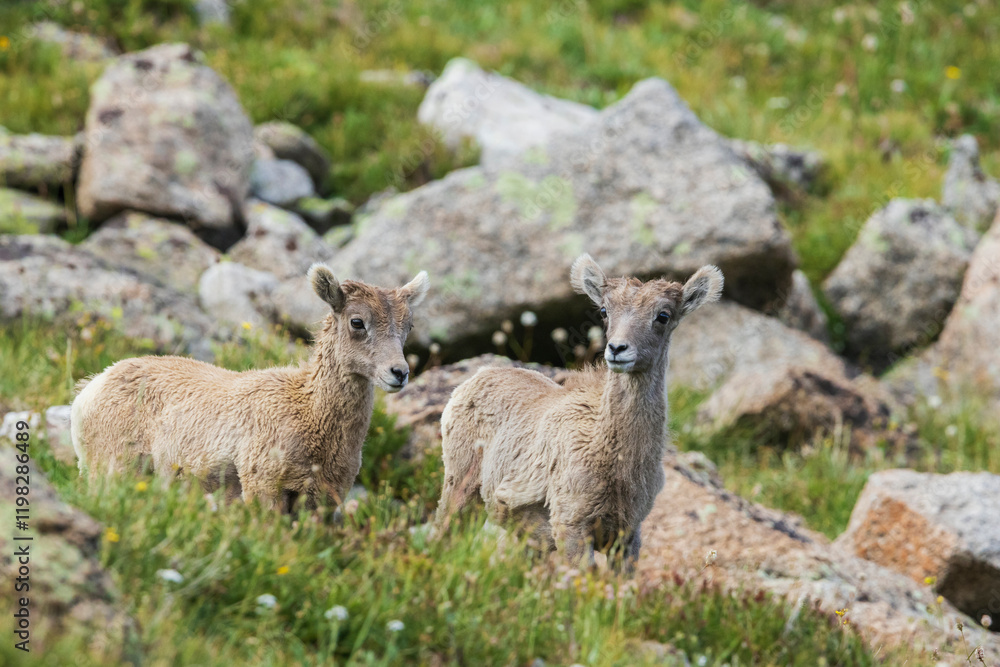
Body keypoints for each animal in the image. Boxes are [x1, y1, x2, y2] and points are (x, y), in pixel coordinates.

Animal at [70, 264, 429, 512]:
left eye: (408, 326)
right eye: (357, 322)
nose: (399, 373)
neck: (309, 413)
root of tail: (89, 390)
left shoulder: (323, 500)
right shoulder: (263, 487)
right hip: (110, 469)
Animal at [434, 255, 723, 571]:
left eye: (663, 316)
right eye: (605, 311)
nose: (617, 349)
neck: (617, 464)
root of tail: (474, 379)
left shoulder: (627, 537)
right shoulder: (572, 527)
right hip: (459, 487)